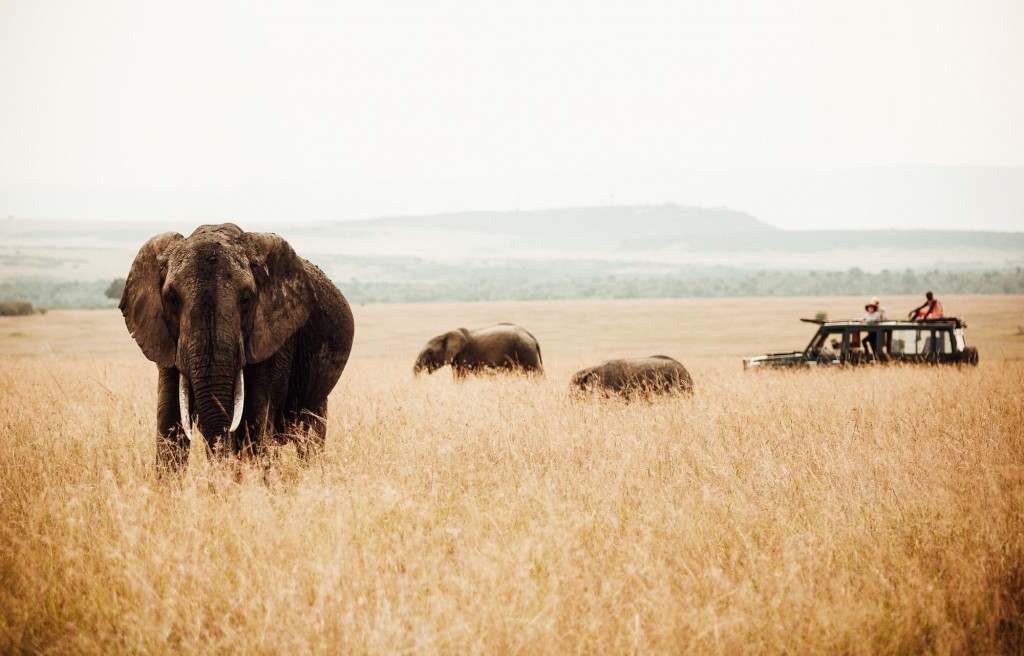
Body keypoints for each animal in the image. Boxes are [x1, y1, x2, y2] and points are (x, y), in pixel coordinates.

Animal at [120, 223, 354, 473]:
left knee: (310, 434)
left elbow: (255, 421)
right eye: (172, 299)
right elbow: (170, 423)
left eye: (246, 299)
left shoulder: (277, 340)